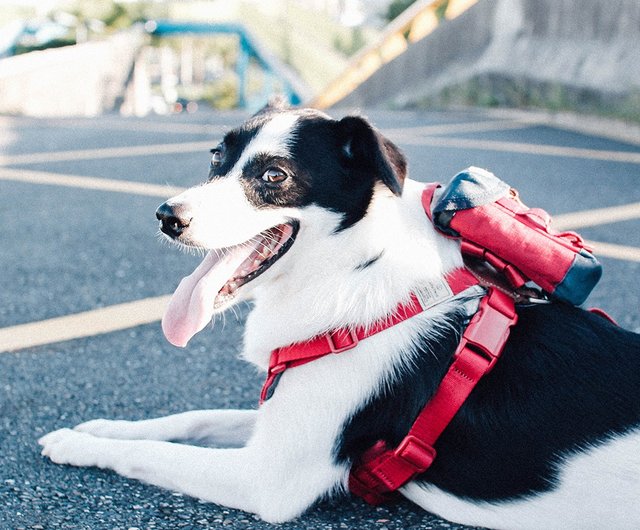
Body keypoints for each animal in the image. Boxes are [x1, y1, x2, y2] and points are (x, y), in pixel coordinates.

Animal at [38, 103, 640, 528]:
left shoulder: (266, 477)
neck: (350, 267)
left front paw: (81, 446)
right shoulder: (281, 424)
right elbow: (191, 419)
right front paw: (102, 427)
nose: (166, 216)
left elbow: (150, 453)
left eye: (273, 176)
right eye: (215, 157)